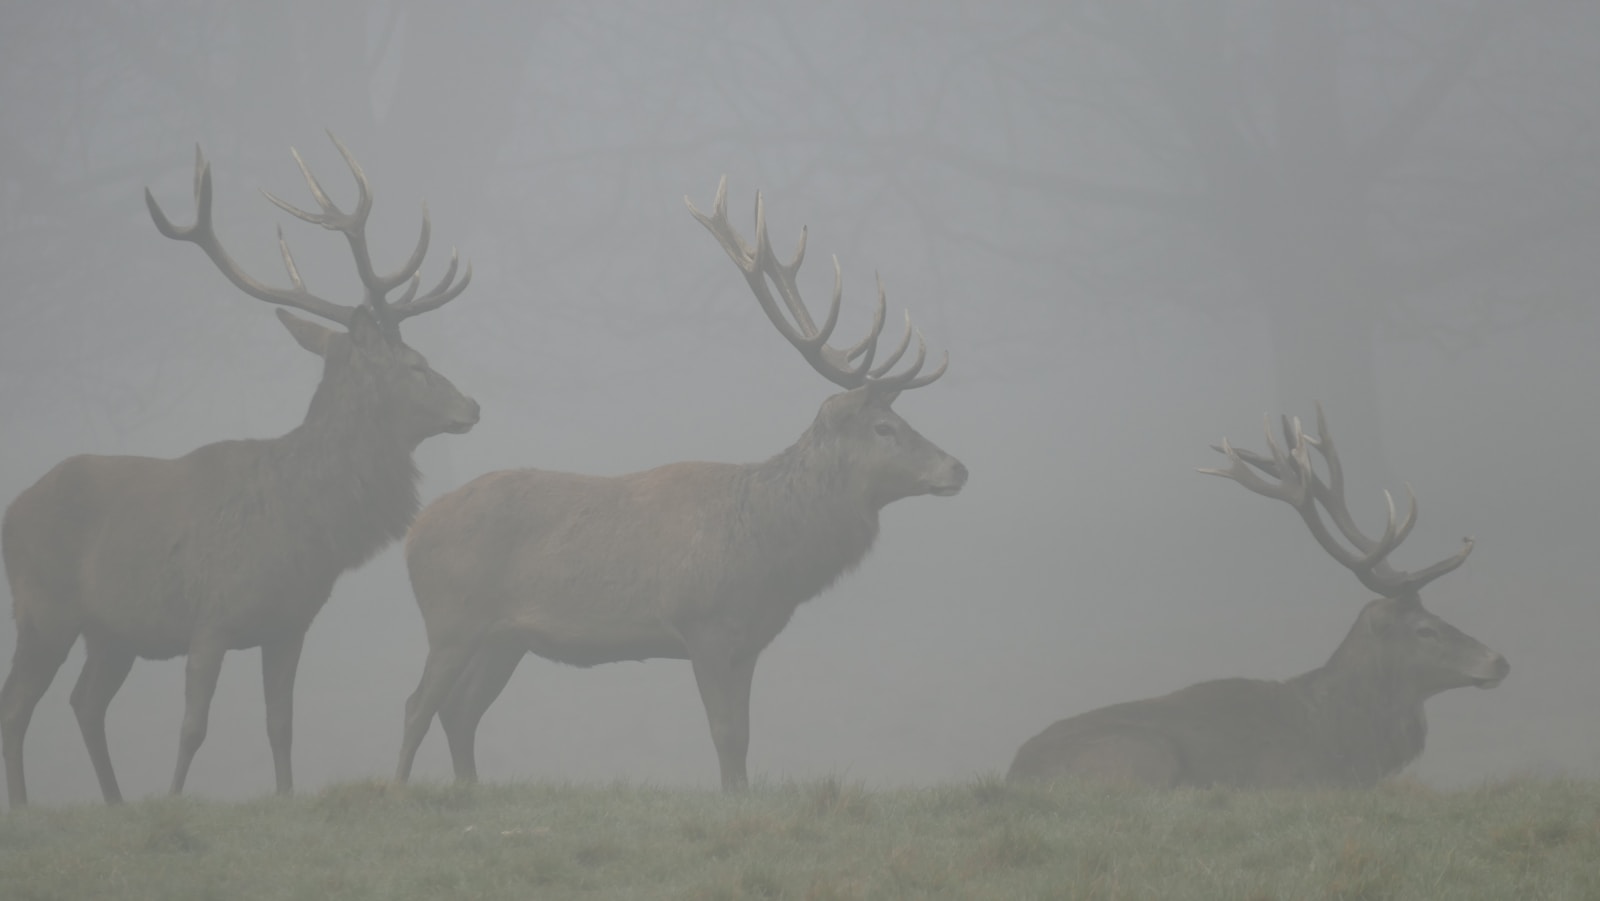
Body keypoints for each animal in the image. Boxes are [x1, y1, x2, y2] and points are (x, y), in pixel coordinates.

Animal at [0, 133, 478, 807]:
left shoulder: (289, 624)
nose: (472, 406)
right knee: (19, 706)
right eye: (414, 364)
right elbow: (194, 724)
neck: (301, 529)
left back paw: (115, 803)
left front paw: (284, 797)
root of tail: (14, 507)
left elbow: (281, 722)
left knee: (84, 703)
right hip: (41, 607)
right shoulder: (212, 615)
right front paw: (174, 800)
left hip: (112, 632)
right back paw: (23, 807)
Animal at [393, 177, 967, 791]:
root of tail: (413, 531)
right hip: (451, 618)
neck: (768, 555)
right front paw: (732, 798)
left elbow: (745, 735)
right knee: (418, 704)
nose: (958, 468)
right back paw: (399, 789)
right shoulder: (703, 623)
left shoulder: (749, 641)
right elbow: (725, 734)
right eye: (885, 427)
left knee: (461, 710)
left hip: (505, 636)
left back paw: (469, 790)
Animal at [1007, 405, 1508, 789]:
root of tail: (1015, 776)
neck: (1345, 742)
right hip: (1142, 754)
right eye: (1425, 629)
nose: (1500, 661)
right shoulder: (1296, 782)